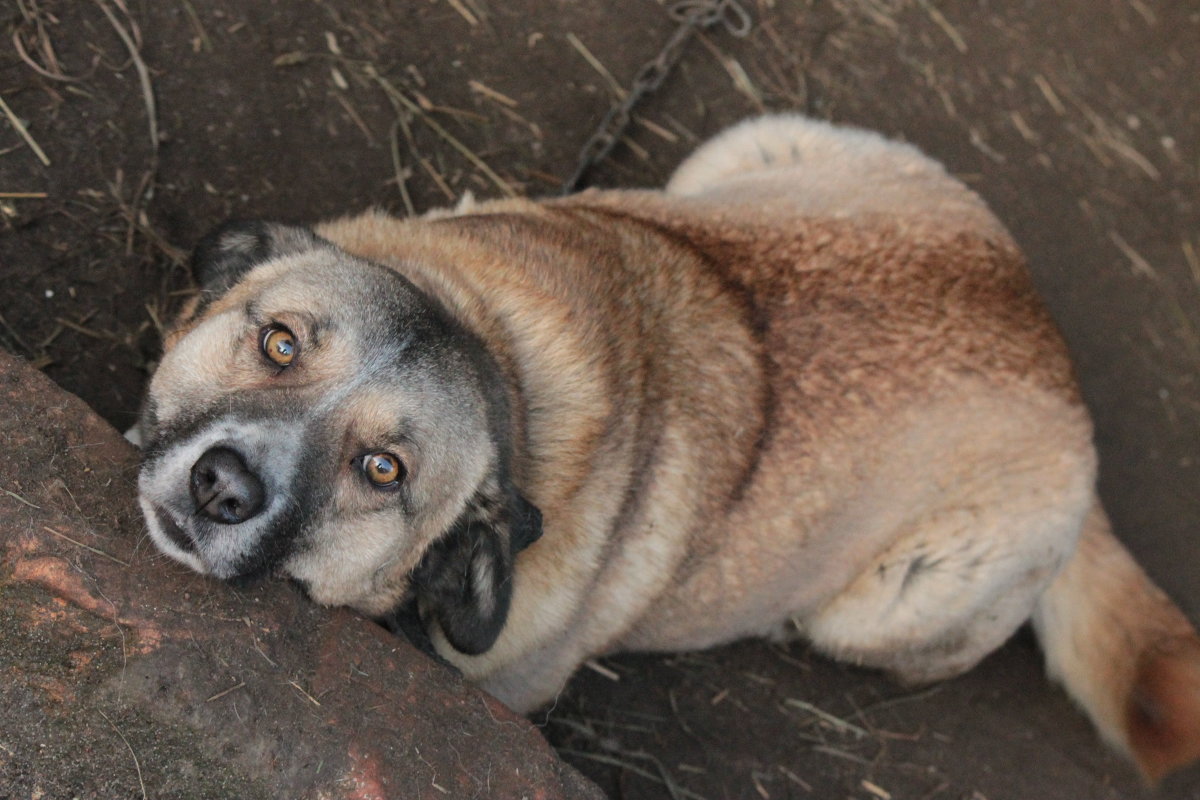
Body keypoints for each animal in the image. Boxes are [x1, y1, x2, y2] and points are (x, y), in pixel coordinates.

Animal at [133, 115, 1200, 777]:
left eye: (382, 471)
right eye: (279, 343)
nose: (222, 485)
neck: (498, 352)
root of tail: (1061, 368)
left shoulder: (509, 686)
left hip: (885, 605)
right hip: (737, 153)